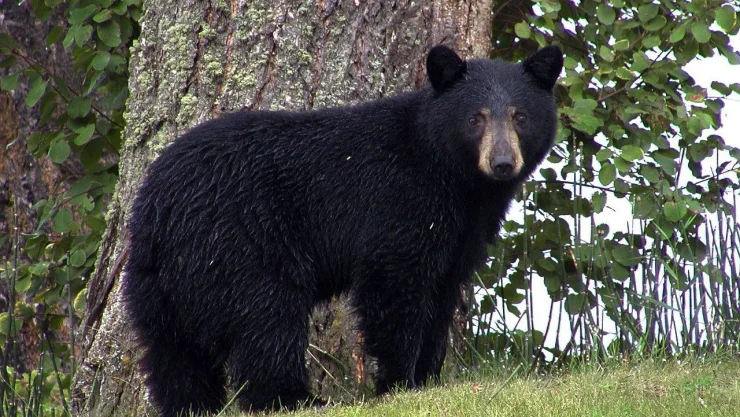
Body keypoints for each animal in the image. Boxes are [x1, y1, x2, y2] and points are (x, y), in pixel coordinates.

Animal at [122, 44, 563, 416]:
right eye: (476, 118)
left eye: (520, 116)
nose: (502, 163)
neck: (454, 177)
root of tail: (157, 206)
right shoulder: (400, 201)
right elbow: (394, 283)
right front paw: (398, 384)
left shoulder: (463, 230)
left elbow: (442, 293)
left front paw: (428, 379)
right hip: (241, 241)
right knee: (266, 317)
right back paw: (294, 398)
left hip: (158, 281)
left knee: (173, 352)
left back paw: (191, 405)